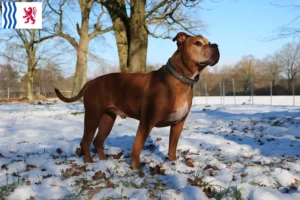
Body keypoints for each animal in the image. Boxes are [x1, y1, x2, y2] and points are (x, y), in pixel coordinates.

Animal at [55, 32, 219, 169]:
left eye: (209, 42)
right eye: (198, 43)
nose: (216, 45)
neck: (180, 79)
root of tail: (90, 82)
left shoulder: (178, 123)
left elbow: (172, 146)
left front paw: (173, 163)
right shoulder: (147, 121)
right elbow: (137, 146)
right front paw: (137, 169)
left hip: (108, 119)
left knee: (98, 141)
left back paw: (103, 161)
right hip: (92, 116)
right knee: (86, 142)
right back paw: (90, 163)